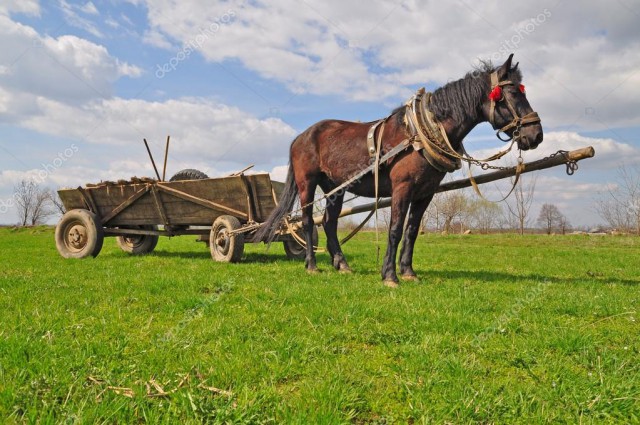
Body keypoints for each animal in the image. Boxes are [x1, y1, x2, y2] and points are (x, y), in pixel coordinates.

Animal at [258, 53, 544, 284]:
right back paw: (311, 265)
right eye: (513, 94)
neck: (422, 132)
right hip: (307, 183)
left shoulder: (425, 192)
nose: (536, 134)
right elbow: (395, 229)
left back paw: (342, 264)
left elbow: (412, 231)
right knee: (307, 222)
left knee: (329, 223)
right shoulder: (402, 188)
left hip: (336, 188)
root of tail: (301, 136)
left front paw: (408, 272)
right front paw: (389, 275)